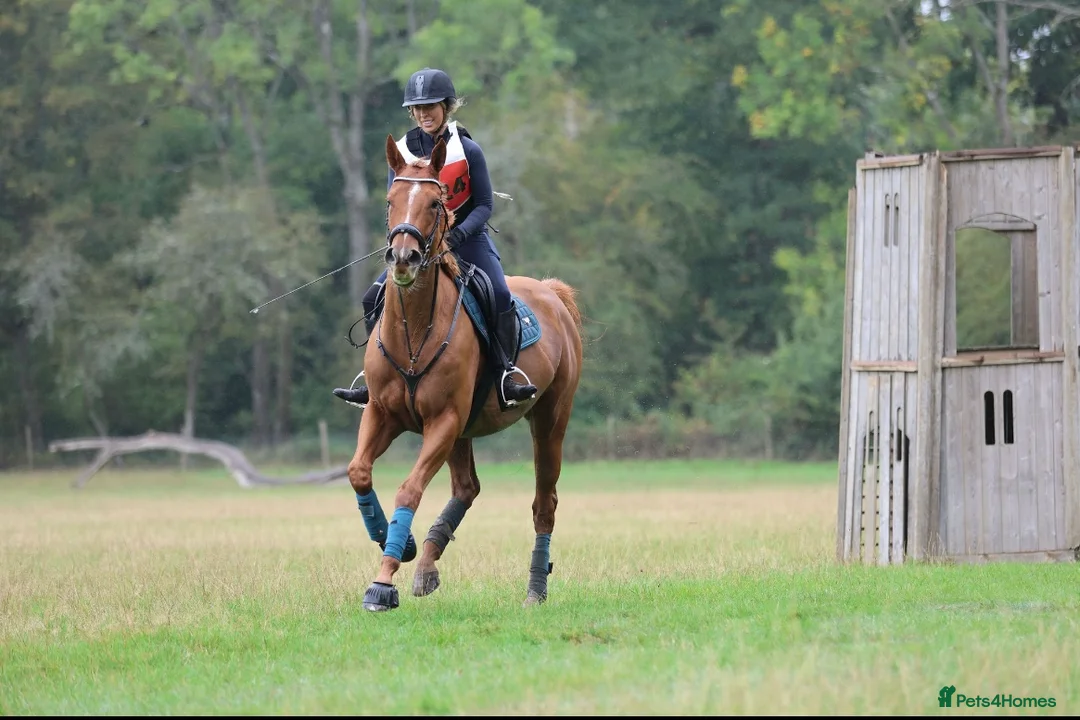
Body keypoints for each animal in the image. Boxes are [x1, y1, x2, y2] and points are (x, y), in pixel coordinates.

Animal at [346, 133, 584, 612]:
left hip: (549, 419)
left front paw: (383, 582)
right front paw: (397, 543)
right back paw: (425, 563)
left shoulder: (443, 421)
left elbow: (409, 489)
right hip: (465, 431)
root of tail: (552, 292)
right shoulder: (382, 413)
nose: (403, 257)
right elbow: (359, 471)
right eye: (390, 200)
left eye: (436, 203)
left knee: (544, 503)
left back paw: (535, 588)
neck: (414, 330)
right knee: (466, 488)